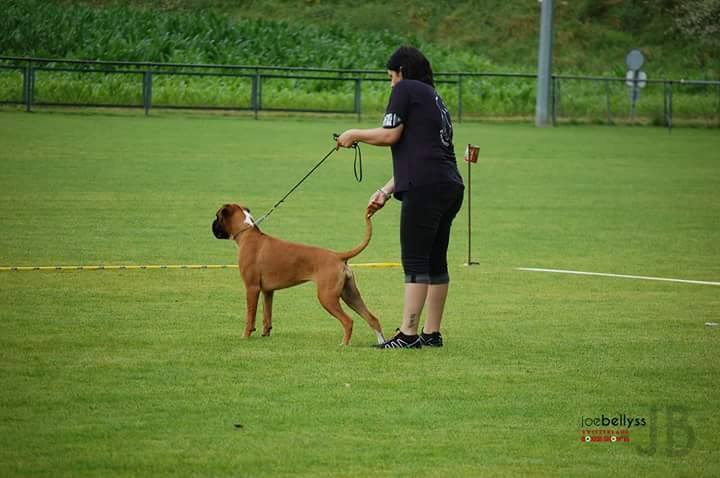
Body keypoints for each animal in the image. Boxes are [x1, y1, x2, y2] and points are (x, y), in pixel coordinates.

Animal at [212, 204, 385, 345]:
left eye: (217, 216)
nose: (212, 226)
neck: (247, 233)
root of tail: (338, 256)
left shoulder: (251, 288)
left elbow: (250, 316)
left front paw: (245, 336)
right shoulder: (268, 291)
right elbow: (267, 315)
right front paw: (265, 334)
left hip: (327, 297)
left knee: (348, 321)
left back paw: (344, 344)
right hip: (350, 295)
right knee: (372, 318)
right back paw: (381, 342)